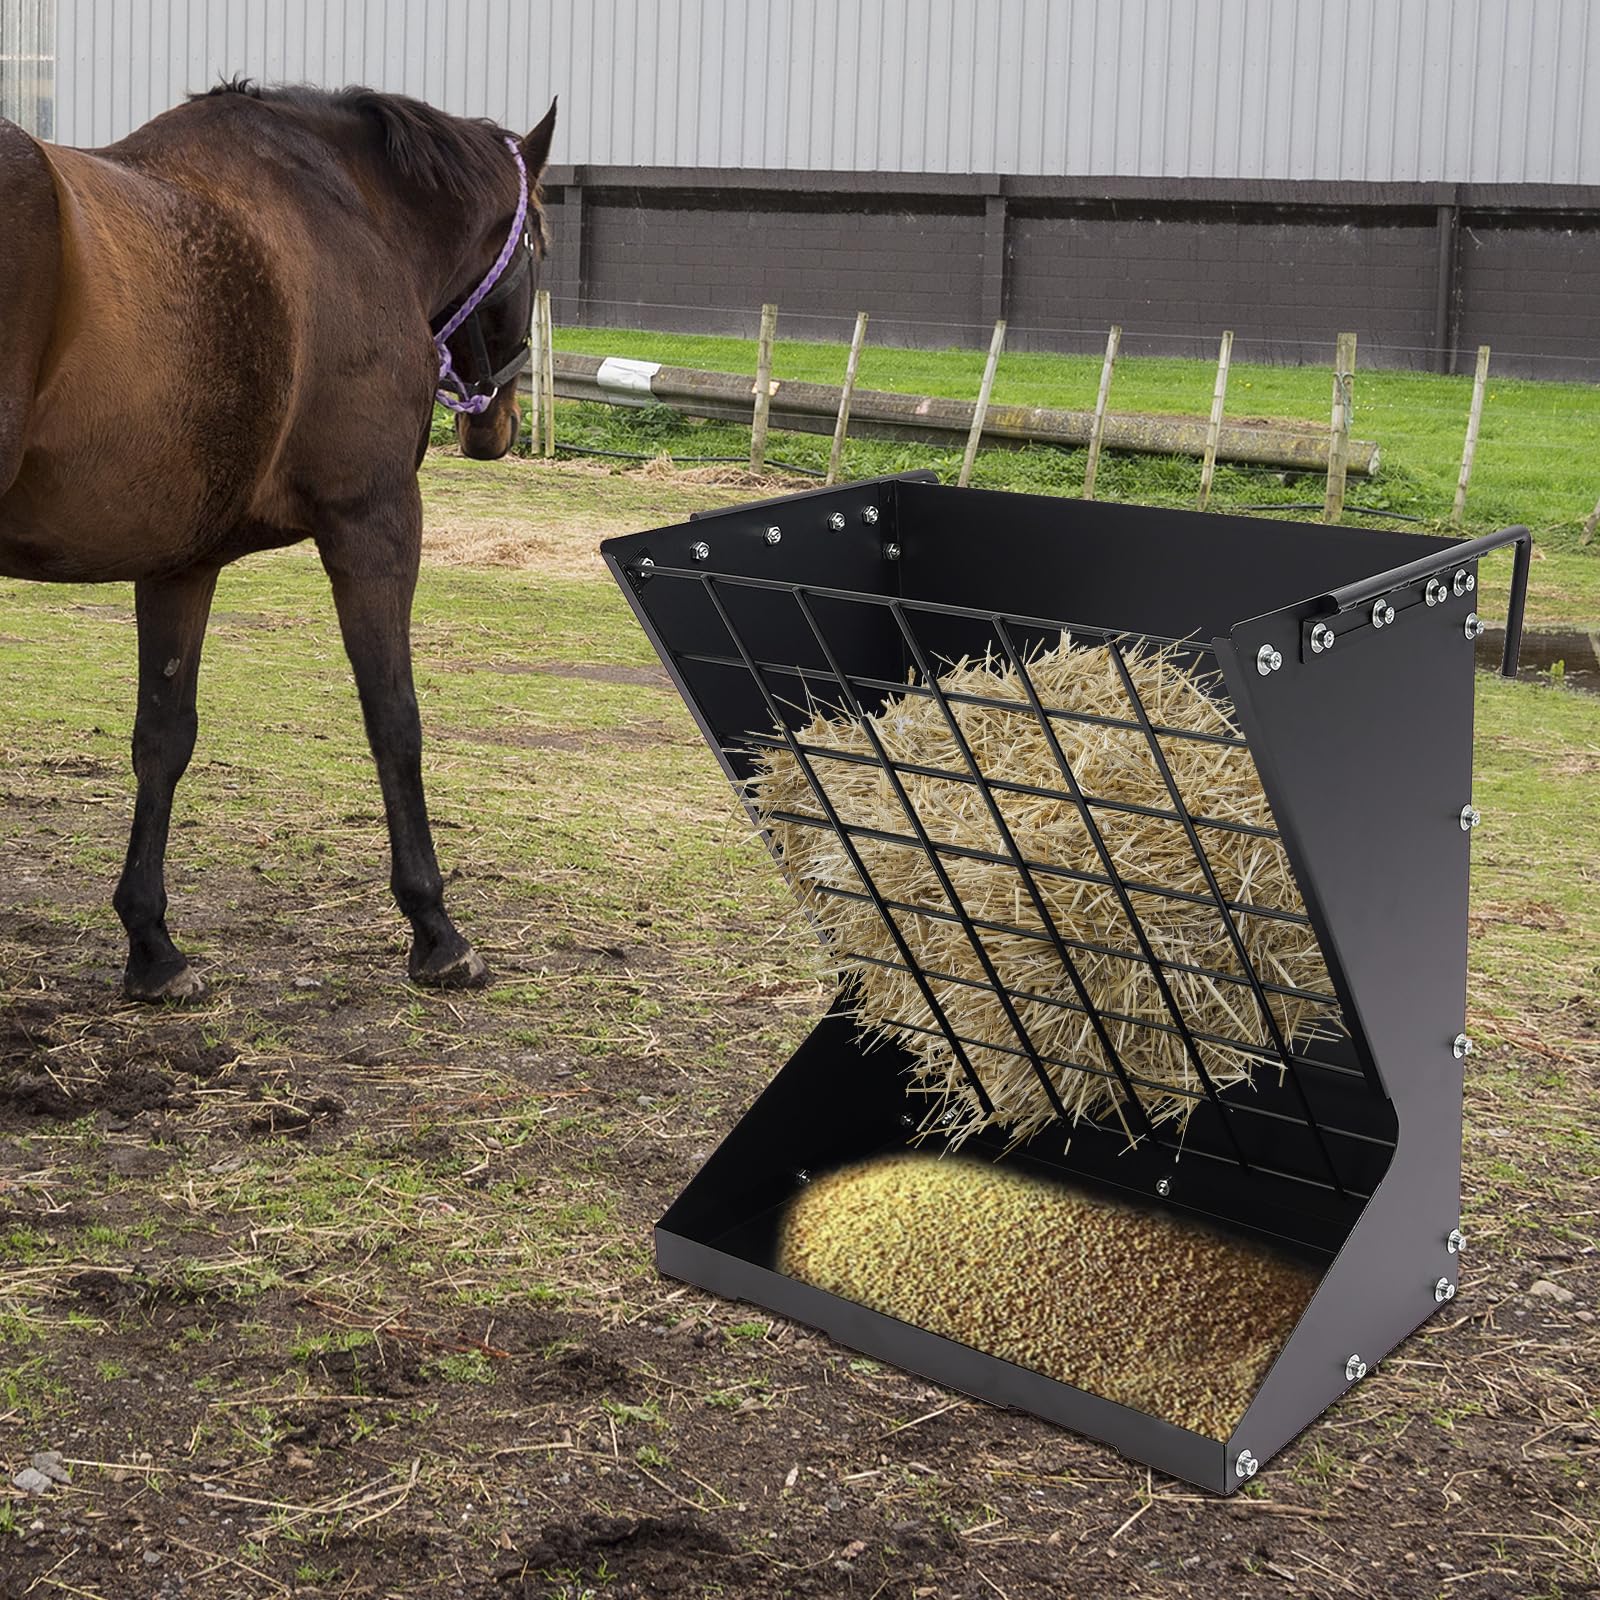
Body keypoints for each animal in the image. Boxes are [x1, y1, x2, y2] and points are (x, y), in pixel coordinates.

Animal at [0, 81, 555, 1001]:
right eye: (541, 246)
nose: (498, 423)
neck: (350, 209)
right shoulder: (374, 519)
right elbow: (394, 718)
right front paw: (435, 929)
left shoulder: (179, 562)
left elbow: (163, 739)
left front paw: (152, 945)